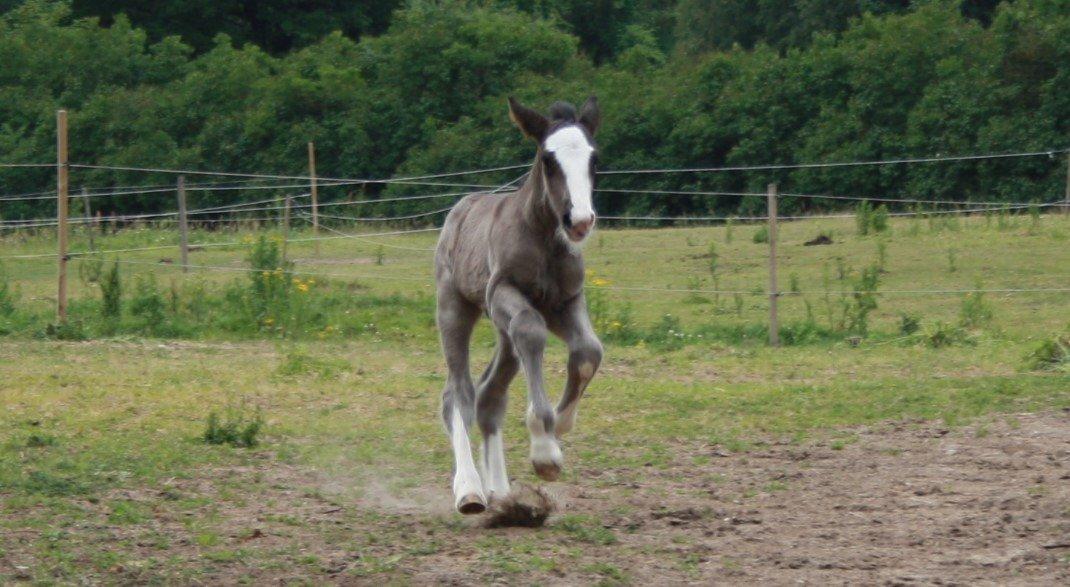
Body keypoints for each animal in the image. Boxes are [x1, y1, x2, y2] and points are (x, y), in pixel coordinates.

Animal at [432, 96, 603, 513]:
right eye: (548, 159)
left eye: (593, 159)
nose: (580, 220)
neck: (545, 243)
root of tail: (462, 206)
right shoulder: (503, 293)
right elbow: (531, 330)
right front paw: (544, 450)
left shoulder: (565, 302)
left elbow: (589, 349)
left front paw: (560, 423)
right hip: (455, 308)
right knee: (458, 394)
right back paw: (470, 490)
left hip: (501, 331)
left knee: (489, 396)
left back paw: (501, 492)